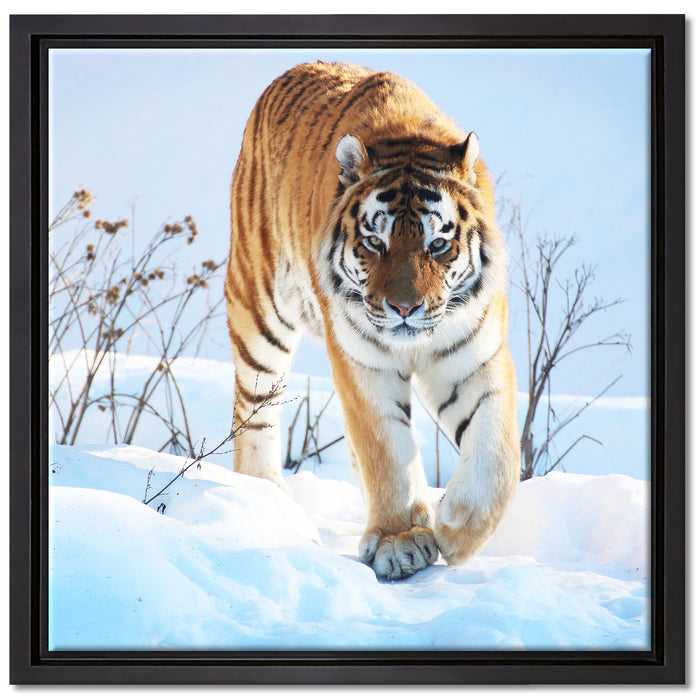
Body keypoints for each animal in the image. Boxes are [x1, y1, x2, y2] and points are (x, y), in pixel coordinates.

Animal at [225, 62, 520, 580]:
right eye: (374, 243)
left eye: (437, 245)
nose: (404, 308)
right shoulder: (362, 360)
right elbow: (386, 448)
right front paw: (399, 541)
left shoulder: (474, 355)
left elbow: (498, 453)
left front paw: (455, 528)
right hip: (258, 310)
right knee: (255, 409)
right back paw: (265, 498)